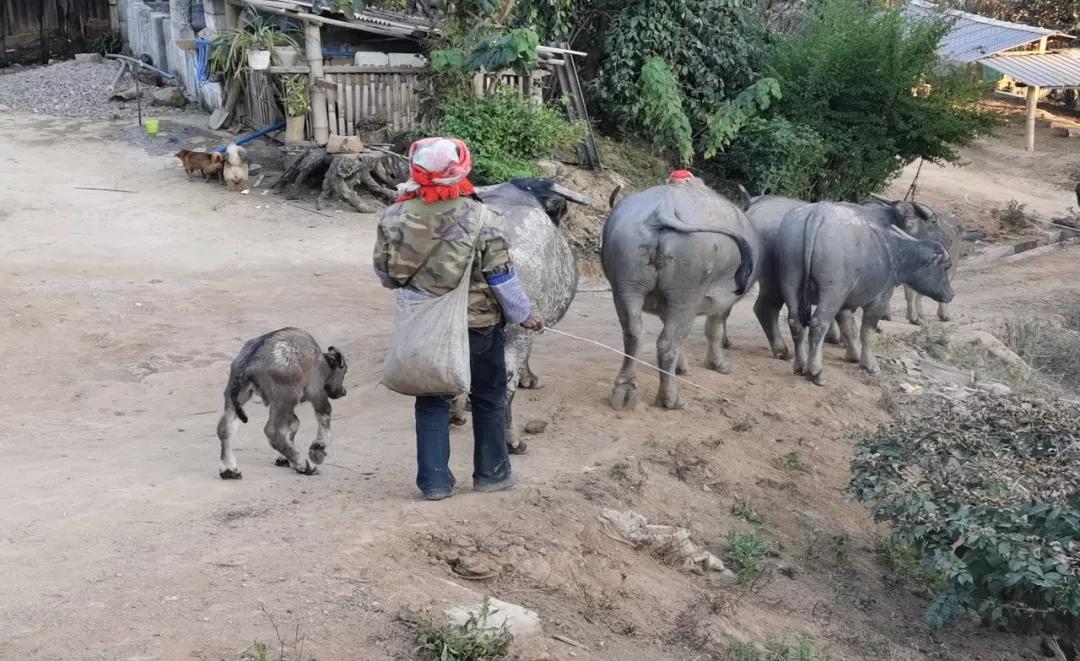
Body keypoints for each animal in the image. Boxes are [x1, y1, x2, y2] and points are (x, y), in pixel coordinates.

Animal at [600, 178, 760, 410]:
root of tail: (663, 209)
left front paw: (681, 368)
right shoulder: (724, 302)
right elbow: (714, 330)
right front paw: (718, 364)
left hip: (626, 288)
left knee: (634, 334)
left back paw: (625, 390)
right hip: (685, 297)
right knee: (666, 343)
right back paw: (670, 399)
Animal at [777, 204, 954, 384]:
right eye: (945, 267)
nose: (951, 294)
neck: (893, 252)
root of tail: (816, 214)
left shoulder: (845, 304)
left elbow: (849, 327)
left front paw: (853, 355)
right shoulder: (879, 299)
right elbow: (867, 333)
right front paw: (870, 365)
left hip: (790, 282)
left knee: (795, 322)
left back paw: (800, 365)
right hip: (833, 293)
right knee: (818, 324)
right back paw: (815, 372)